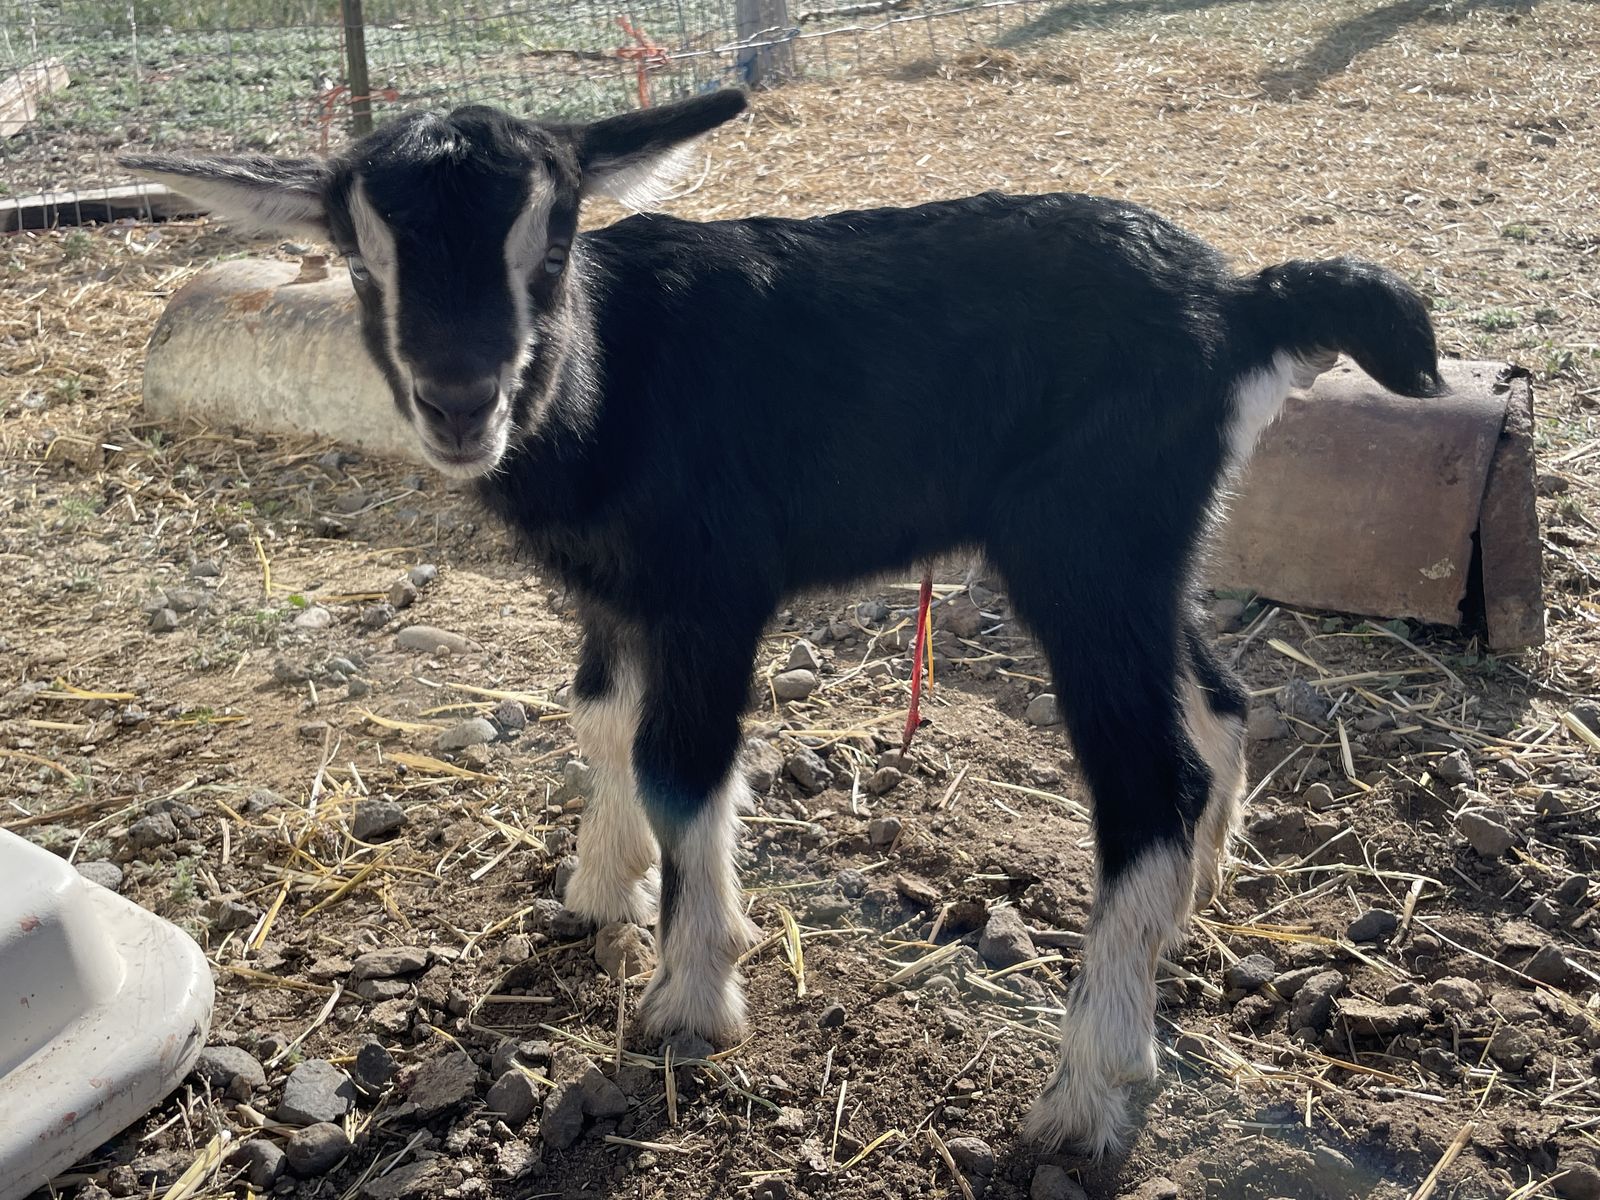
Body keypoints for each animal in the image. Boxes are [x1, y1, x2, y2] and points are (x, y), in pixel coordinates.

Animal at [124, 88, 1440, 1155]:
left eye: (550, 249)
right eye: (360, 261)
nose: (463, 400)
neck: (610, 385)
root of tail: (1242, 299)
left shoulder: (713, 589)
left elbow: (681, 767)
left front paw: (691, 999)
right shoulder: (613, 593)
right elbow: (600, 722)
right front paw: (598, 889)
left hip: (1086, 542)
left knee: (1147, 784)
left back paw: (1088, 1094)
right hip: (1143, 547)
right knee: (1217, 697)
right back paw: (1199, 899)